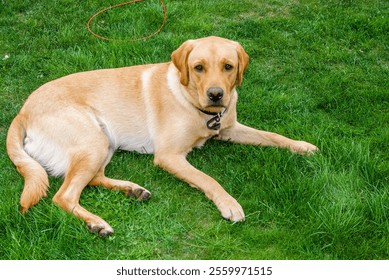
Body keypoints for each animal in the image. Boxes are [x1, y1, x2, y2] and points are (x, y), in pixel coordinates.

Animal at [6, 36, 316, 235]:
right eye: (198, 67)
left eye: (228, 66)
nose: (216, 95)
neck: (197, 107)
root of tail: (23, 111)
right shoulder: (169, 156)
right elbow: (208, 179)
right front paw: (229, 204)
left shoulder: (229, 129)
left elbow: (273, 136)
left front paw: (302, 146)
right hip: (92, 140)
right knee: (65, 195)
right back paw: (97, 223)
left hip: (104, 142)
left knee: (91, 179)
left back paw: (132, 190)